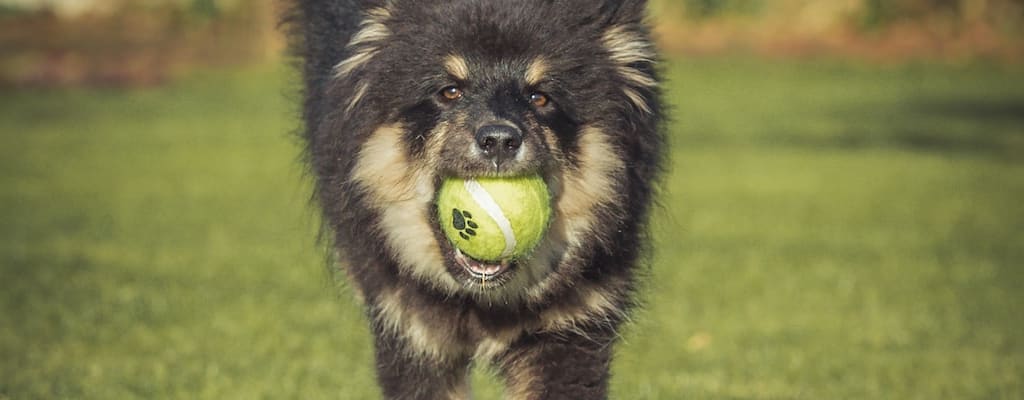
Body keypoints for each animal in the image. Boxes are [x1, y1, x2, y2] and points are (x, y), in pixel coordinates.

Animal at [284, 1, 663, 398]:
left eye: (540, 97)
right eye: (450, 91)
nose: (499, 140)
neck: (483, 299)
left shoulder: (571, 328)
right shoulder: (409, 328)